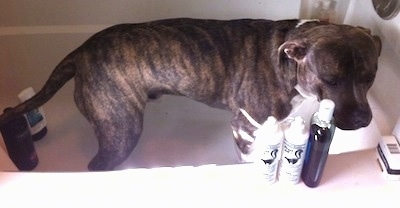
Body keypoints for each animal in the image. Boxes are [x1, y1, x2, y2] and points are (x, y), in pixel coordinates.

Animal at [0, 18, 382, 170]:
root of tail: (82, 50)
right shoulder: (245, 128)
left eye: (371, 77)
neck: (288, 61)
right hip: (121, 131)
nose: (363, 119)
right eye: (331, 79)